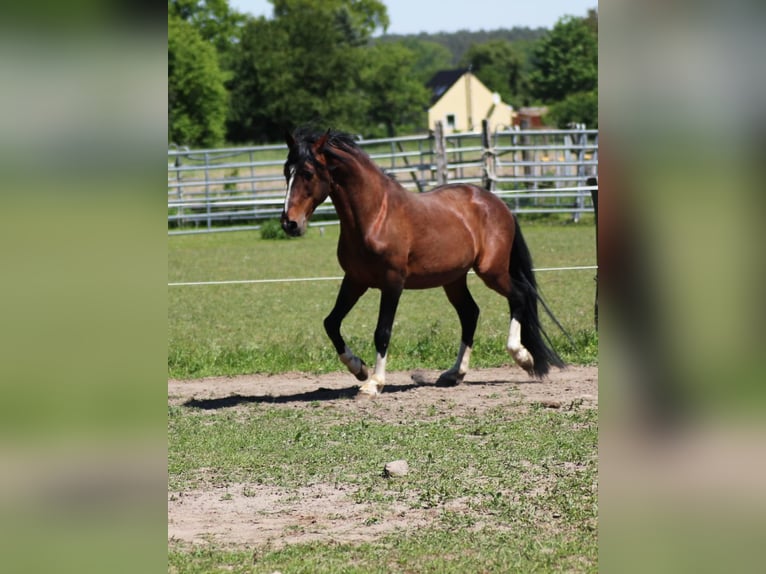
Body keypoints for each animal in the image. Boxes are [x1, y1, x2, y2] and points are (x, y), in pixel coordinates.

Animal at [282, 128, 564, 398]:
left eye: (307, 173)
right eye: (287, 172)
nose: (289, 224)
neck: (376, 216)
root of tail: (497, 202)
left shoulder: (392, 283)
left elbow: (382, 332)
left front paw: (374, 384)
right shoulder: (354, 280)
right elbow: (331, 323)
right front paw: (358, 368)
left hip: (491, 271)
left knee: (520, 295)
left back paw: (523, 357)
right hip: (454, 279)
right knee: (470, 313)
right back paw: (454, 374)